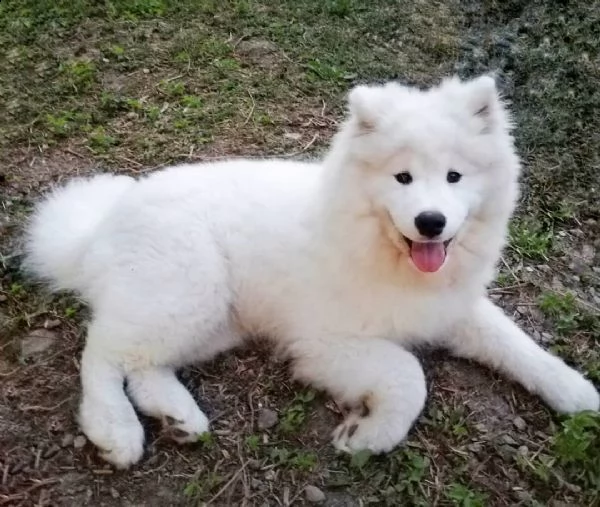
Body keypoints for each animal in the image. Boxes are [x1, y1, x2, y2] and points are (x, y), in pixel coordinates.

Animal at [23, 74, 600, 468]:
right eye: (403, 177)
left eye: (454, 177)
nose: (431, 222)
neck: (384, 253)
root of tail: (103, 223)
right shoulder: (324, 343)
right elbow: (408, 375)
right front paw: (369, 436)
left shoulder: (451, 309)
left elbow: (516, 343)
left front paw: (577, 392)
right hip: (189, 292)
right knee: (101, 352)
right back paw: (115, 429)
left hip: (214, 320)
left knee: (143, 364)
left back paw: (178, 417)